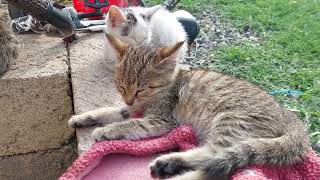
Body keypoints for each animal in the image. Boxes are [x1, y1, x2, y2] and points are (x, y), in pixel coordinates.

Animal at [68, 34, 310, 180]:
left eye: (141, 89)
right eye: (120, 86)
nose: (129, 99)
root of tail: (290, 118)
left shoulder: (162, 119)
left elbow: (131, 124)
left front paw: (107, 130)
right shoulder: (134, 108)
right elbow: (112, 111)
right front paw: (85, 117)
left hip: (231, 121)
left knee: (217, 159)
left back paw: (172, 168)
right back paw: (169, 164)